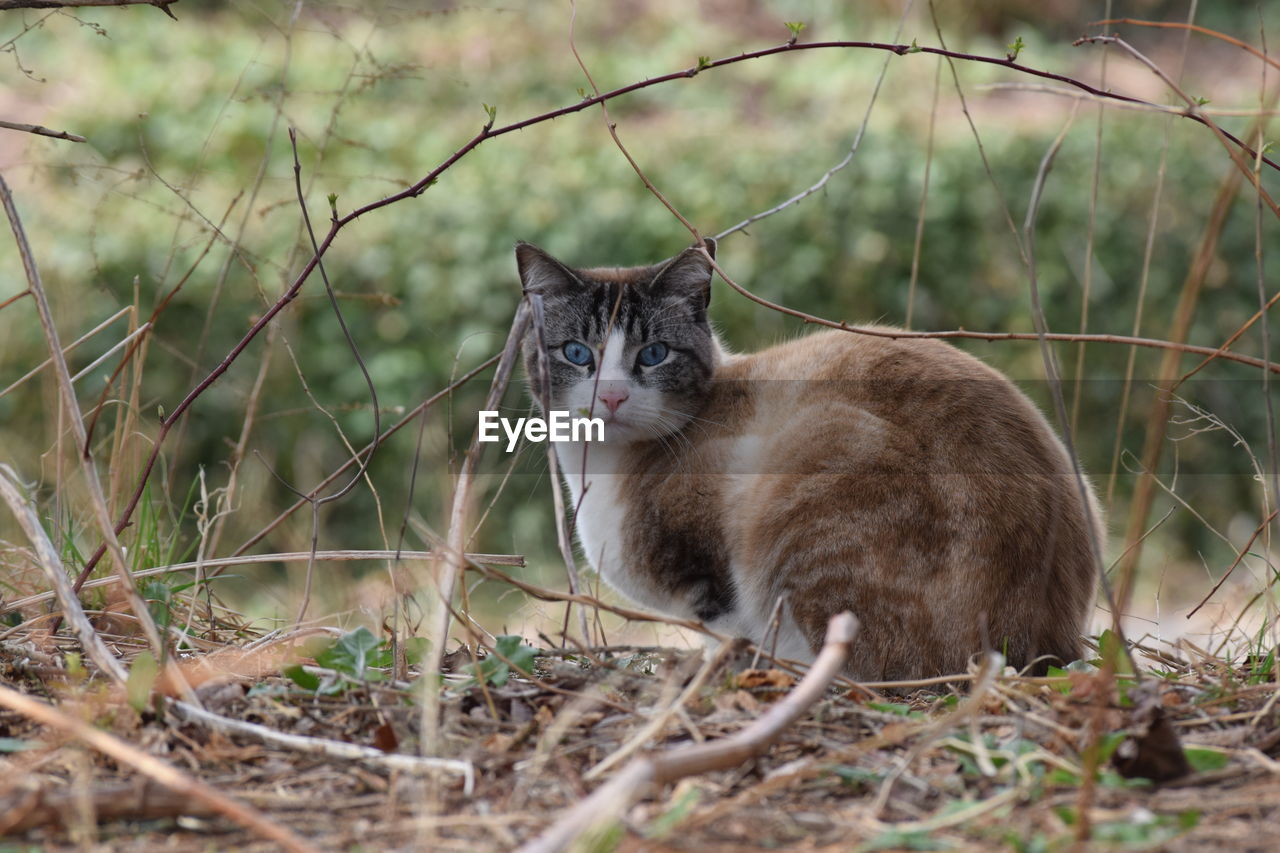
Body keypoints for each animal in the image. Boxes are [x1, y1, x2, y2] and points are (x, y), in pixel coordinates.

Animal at [517, 236, 1100, 676]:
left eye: (653, 354)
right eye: (578, 354)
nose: (612, 397)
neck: (601, 469)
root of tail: (1053, 648)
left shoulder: (712, 581)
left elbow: (729, 638)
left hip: (816, 461)